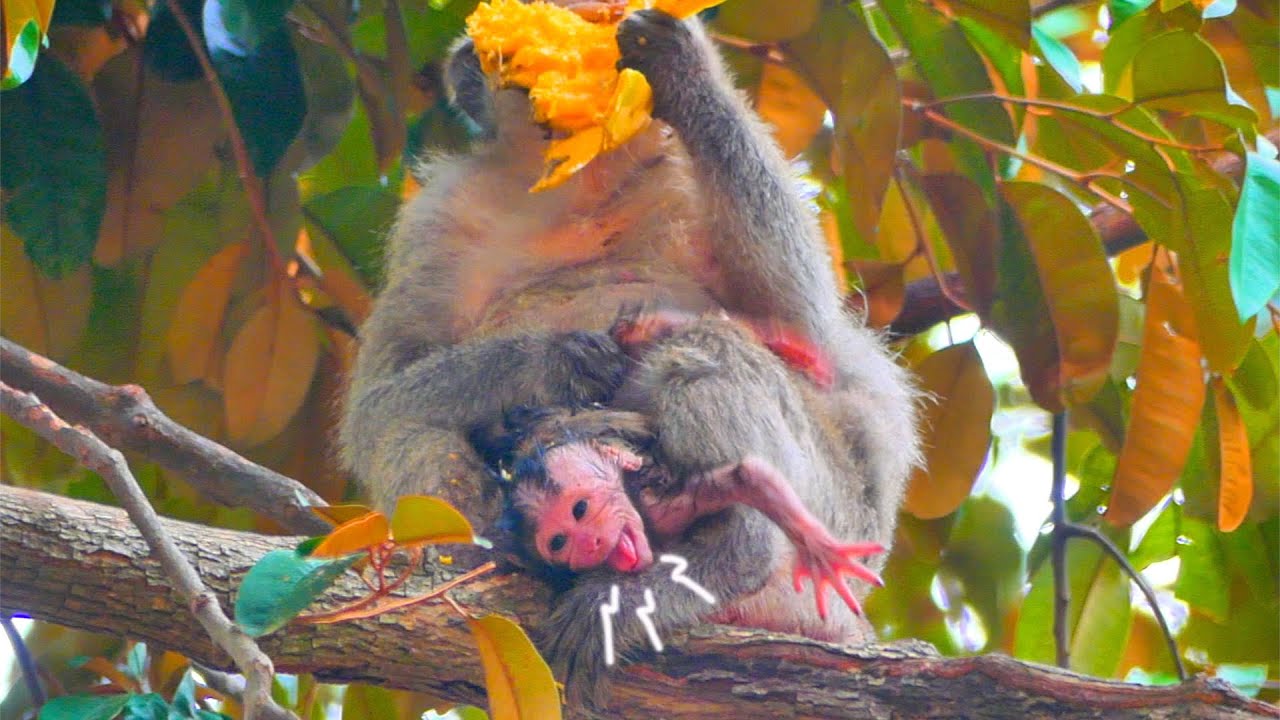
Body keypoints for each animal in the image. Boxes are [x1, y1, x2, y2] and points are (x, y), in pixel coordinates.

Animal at [338, 4, 919, 706]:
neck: (582, 179)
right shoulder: (439, 220)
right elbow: (377, 406)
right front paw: (552, 358)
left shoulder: (675, 174)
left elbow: (806, 333)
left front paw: (684, 70)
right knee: (411, 429)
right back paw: (486, 557)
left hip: (832, 523)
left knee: (713, 351)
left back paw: (732, 556)